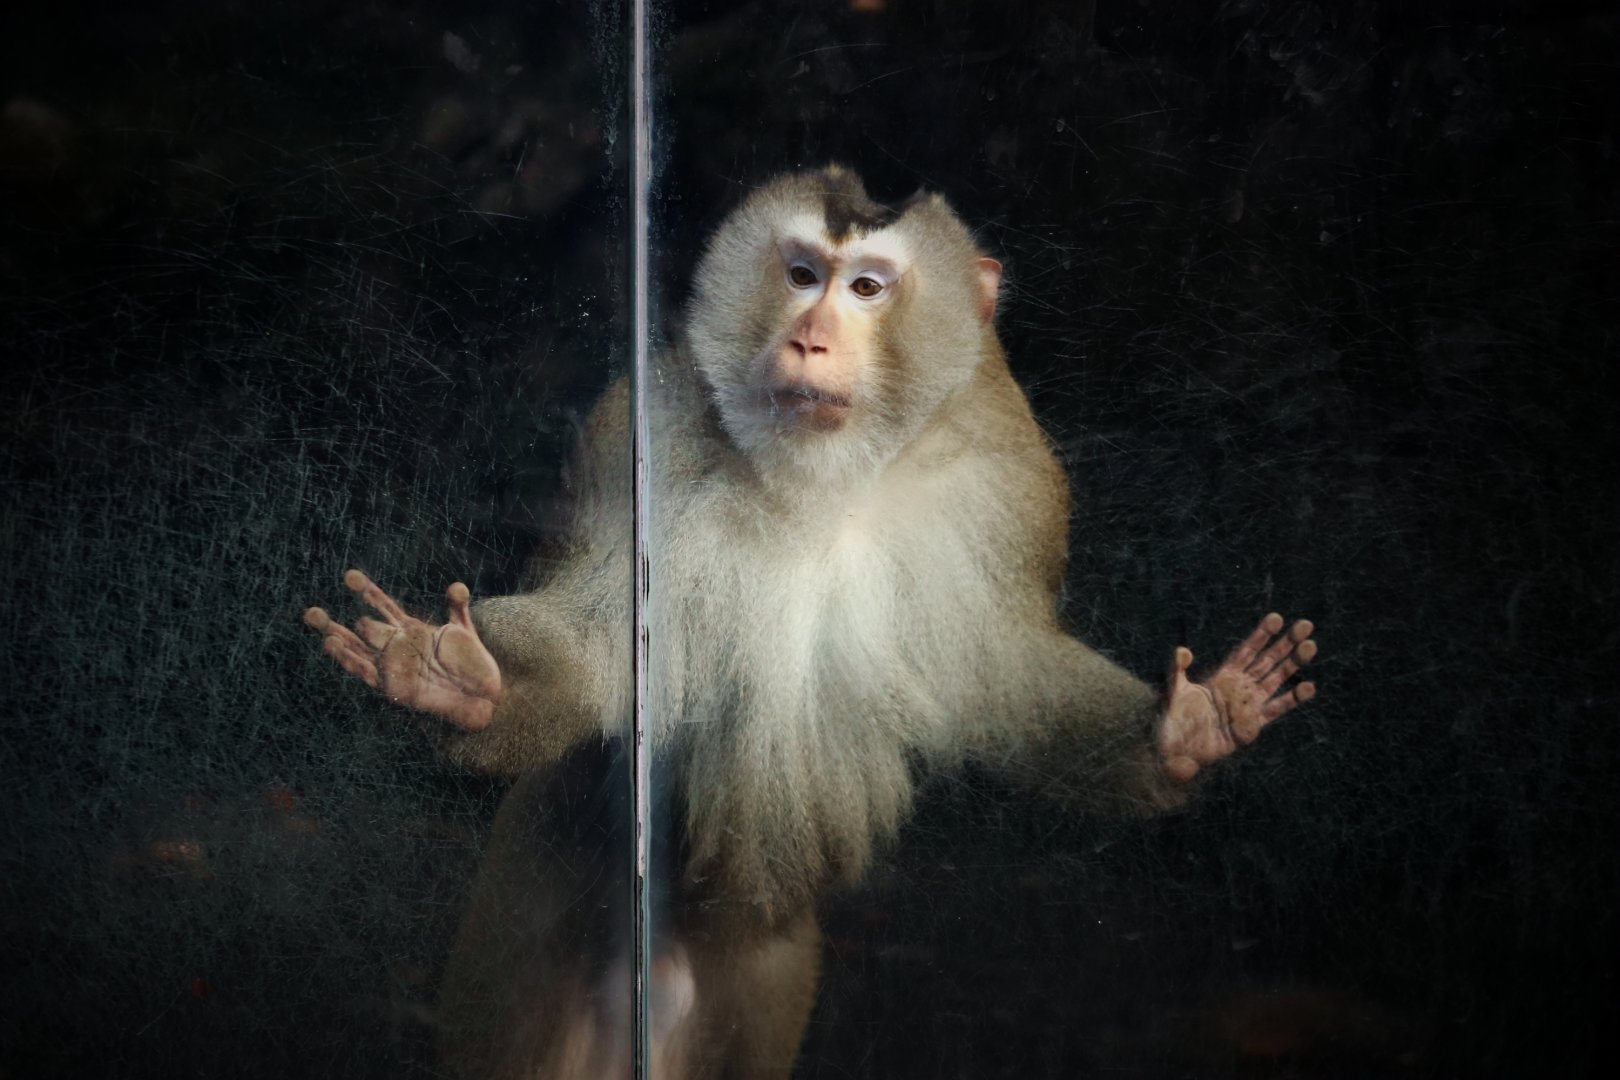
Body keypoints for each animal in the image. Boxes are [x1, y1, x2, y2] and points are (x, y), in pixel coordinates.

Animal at [303, 166, 1319, 1079]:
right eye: (799, 275)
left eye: (866, 288)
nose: (810, 342)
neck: (821, 477)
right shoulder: (636, 439)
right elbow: (599, 646)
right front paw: (453, 676)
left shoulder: (1009, 474)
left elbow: (1011, 672)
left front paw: (1190, 726)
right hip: (530, 900)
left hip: (757, 982)